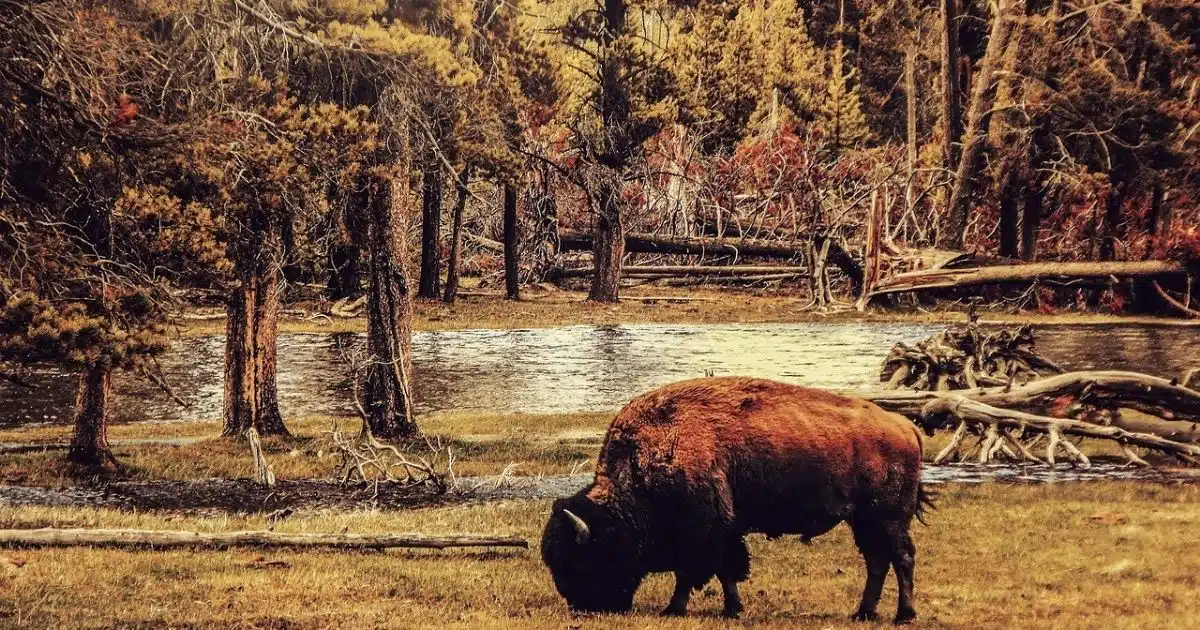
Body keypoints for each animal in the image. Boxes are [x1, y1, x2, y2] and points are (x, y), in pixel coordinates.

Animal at [542, 376, 926, 619]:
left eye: (584, 558)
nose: (583, 606)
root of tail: (906, 426)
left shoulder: (706, 531)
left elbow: (694, 572)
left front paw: (674, 608)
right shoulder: (726, 531)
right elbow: (726, 571)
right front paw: (732, 609)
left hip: (888, 518)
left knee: (902, 558)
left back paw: (903, 615)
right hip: (864, 520)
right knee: (878, 561)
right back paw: (864, 613)